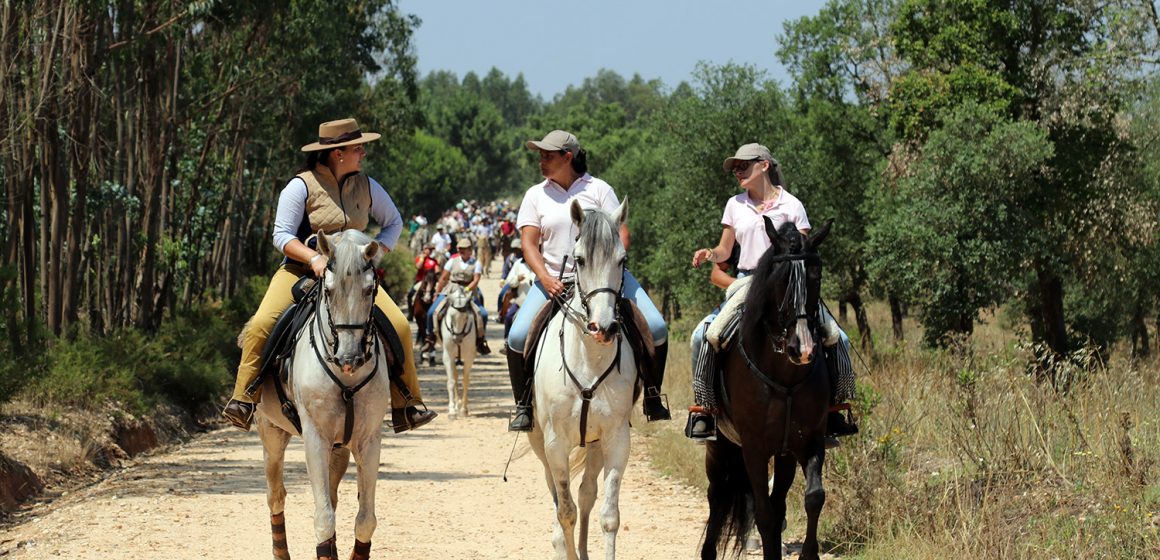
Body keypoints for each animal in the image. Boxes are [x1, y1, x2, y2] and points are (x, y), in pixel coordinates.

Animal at [254, 230, 394, 560]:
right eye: (328, 291)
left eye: (369, 290)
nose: (349, 357)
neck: (346, 377)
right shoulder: (315, 437)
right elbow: (323, 517)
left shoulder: (369, 440)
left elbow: (365, 520)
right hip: (271, 433)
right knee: (276, 495)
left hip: (339, 446)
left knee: (330, 494)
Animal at [436, 282, 477, 419]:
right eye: (451, 317)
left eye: (466, 317)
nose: (457, 339)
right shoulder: (448, 356)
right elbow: (451, 381)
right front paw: (452, 411)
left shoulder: (469, 357)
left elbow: (465, 381)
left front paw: (464, 409)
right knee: (454, 376)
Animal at [531, 201, 640, 560]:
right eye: (578, 259)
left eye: (622, 260)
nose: (603, 327)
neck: (590, 360)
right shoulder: (554, 442)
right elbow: (565, 510)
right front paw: (563, 548)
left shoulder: (616, 439)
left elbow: (609, 515)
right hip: (540, 443)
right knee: (556, 492)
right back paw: (559, 546)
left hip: (593, 443)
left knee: (587, 493)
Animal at [696, 216, 835, 558]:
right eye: (781, 277)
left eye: (816, 274)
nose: (804, 349)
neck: (784, 376)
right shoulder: (754, 447)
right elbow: (763, 514)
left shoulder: (808, 440)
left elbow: (813, 498)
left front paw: (809, 553)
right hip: (720, 446)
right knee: (717, 495)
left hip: (783, 454)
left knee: (776, 502)